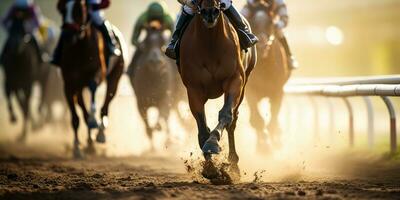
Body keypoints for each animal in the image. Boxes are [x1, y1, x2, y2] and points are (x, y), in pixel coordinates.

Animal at [1, 9, 41, 141]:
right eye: (12, 29)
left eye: (22, 29)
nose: (16, 45)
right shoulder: (10, 81)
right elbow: (11, 98)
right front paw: (13, 118)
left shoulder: (27, 83)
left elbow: (25, 104)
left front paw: (24, 134)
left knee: (25, 103)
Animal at [59, 0, 123, 159]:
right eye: (62, 9)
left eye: (78, 8)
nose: (68, 34)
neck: (79, 48)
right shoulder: (68, 83)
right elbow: (75, 118)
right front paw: (76, 148)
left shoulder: (97, 73)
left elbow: (93, 87)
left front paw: (94, 122)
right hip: (78, 86)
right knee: (83, 109)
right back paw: (89, 143)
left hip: (115, 77)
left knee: (105, 104)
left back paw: (99, 134)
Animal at [129, 21, 177, 151]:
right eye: (146, 42)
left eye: (162, 41)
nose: (155, 61)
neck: (153, 81)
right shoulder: (141, 103)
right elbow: (147, 125)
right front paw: (152, 148)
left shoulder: (165, 97)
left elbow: (163, 115)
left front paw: (158, 127)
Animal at [244, 8, 290, 152]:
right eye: (253, 23)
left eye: (270, 23)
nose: (262, 45)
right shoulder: (250, 91)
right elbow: (256, 120)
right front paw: (264, 147)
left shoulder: (278, 91)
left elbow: (273, 119)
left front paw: (275, 140)